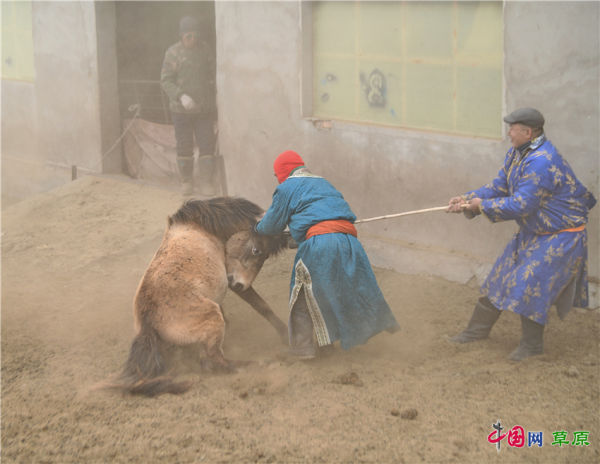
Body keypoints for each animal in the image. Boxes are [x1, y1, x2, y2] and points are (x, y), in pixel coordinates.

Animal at [109, 196, 288, 396]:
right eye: (256, 250)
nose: (240, 284)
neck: (204, 227)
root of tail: (148, 321)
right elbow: (262, 306)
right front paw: (286, 335)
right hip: (213, 319)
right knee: (214, 361)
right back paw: (256, 364)